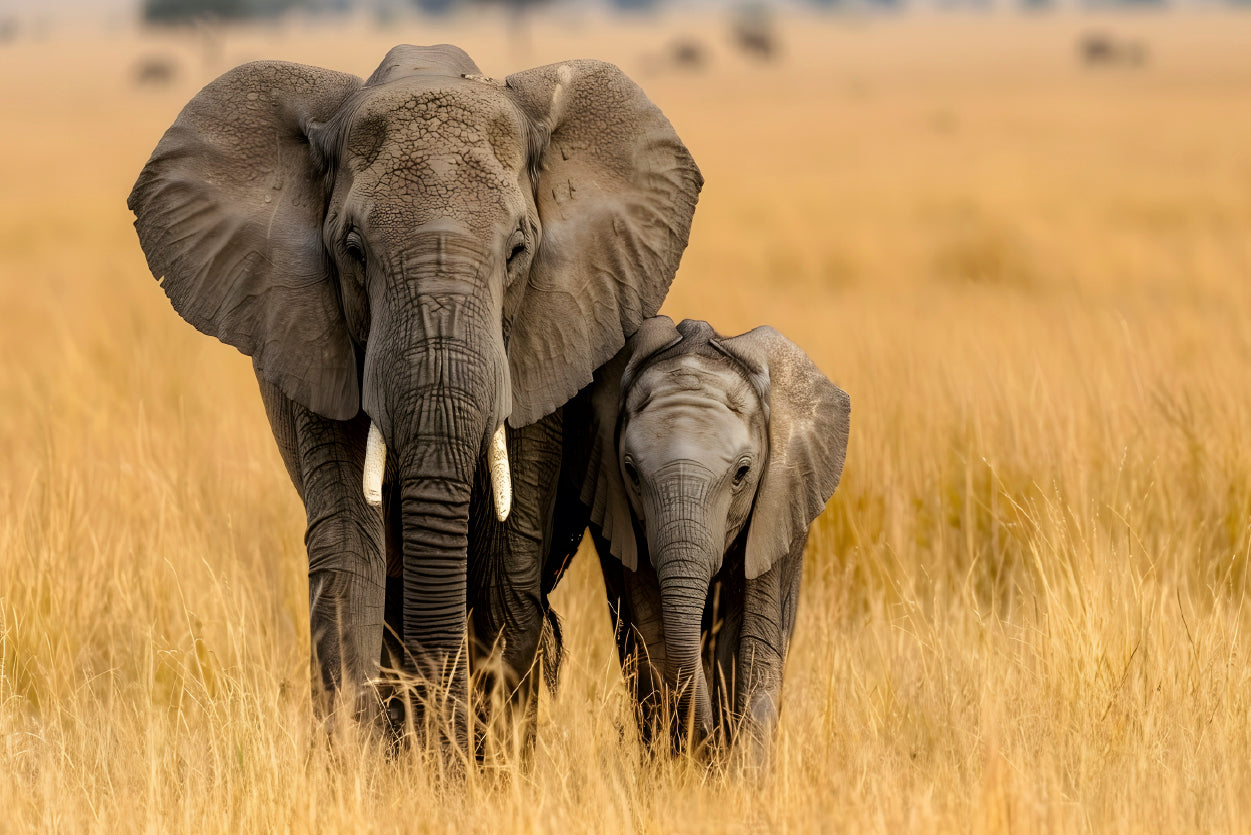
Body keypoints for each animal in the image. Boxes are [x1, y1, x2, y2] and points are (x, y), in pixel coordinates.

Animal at [127, 44, 702, 753]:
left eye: (519, 250)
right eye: (352, 250)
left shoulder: (542, 342)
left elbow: (507, 561)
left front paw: (475, 764)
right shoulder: (311, 335)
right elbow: (350, 549)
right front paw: (370, 764)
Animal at [548, 316, 849, 759]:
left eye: (742, 472)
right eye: (630, 472)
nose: (705, 742)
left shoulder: (778, 502)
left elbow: (753, 641)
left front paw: (739, 771)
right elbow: (653, 637)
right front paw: (680, 763)